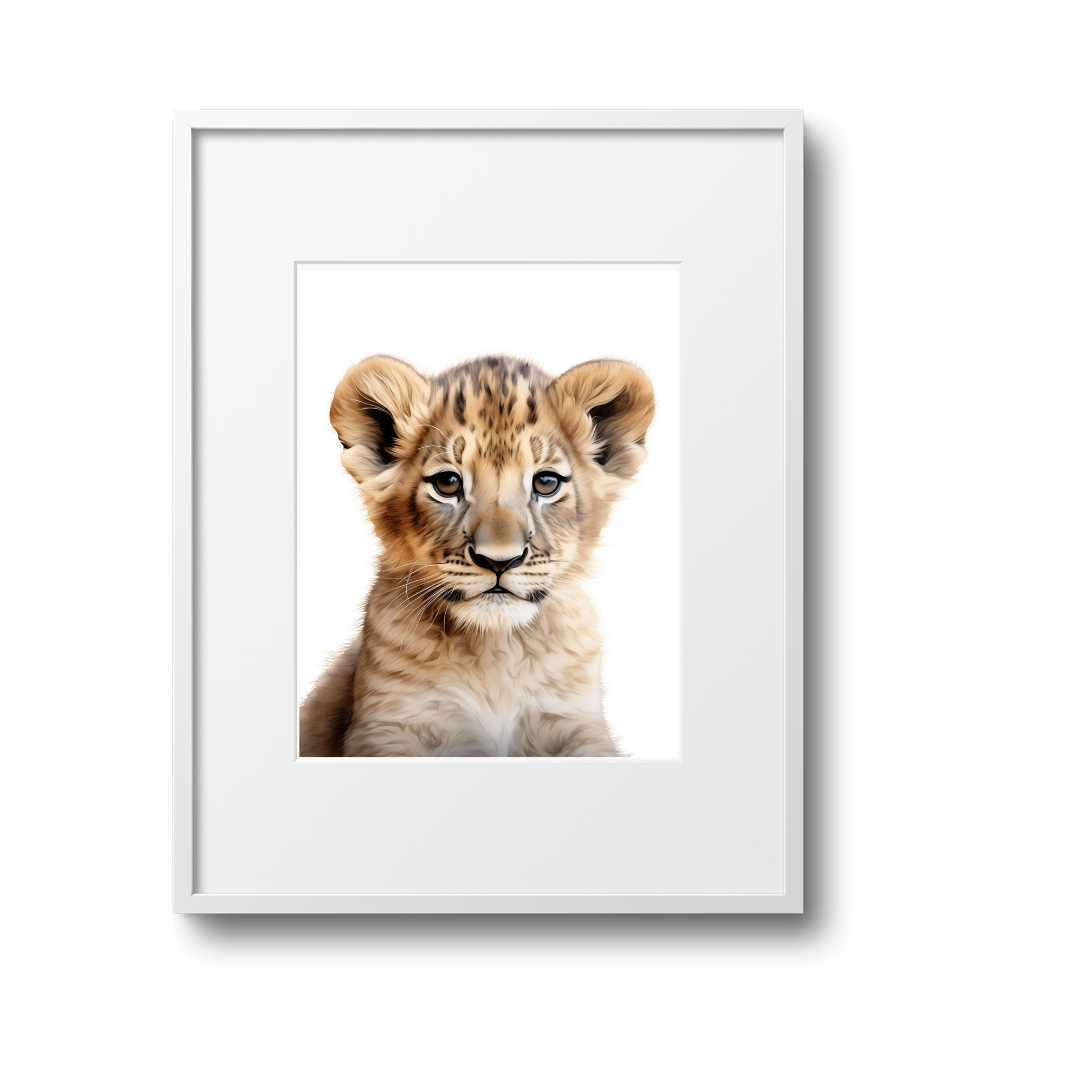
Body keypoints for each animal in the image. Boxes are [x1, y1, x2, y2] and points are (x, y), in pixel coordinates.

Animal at [299, 353, 655, 757]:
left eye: (546, 483)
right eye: (447, 483)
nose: (499, 560)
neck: (496, 649)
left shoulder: (575, 719)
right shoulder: (389, 723)